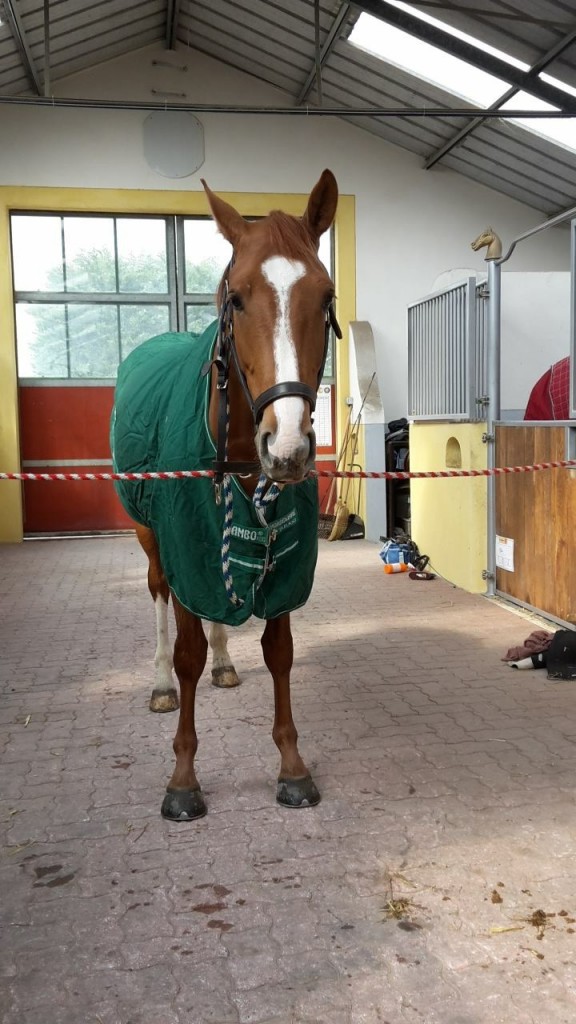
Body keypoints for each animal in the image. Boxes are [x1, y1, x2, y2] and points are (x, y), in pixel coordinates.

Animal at [109, 172, 338, 819]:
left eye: (326, 297)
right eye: (236, 298)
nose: (287, 447)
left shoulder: (285, 560)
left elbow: (279, 651)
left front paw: (292, 767)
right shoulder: (183, 539)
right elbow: (186, 652)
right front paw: (183, 778)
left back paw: (226, 662)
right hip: (150, 536)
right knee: (162, 596)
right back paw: (161, 683)